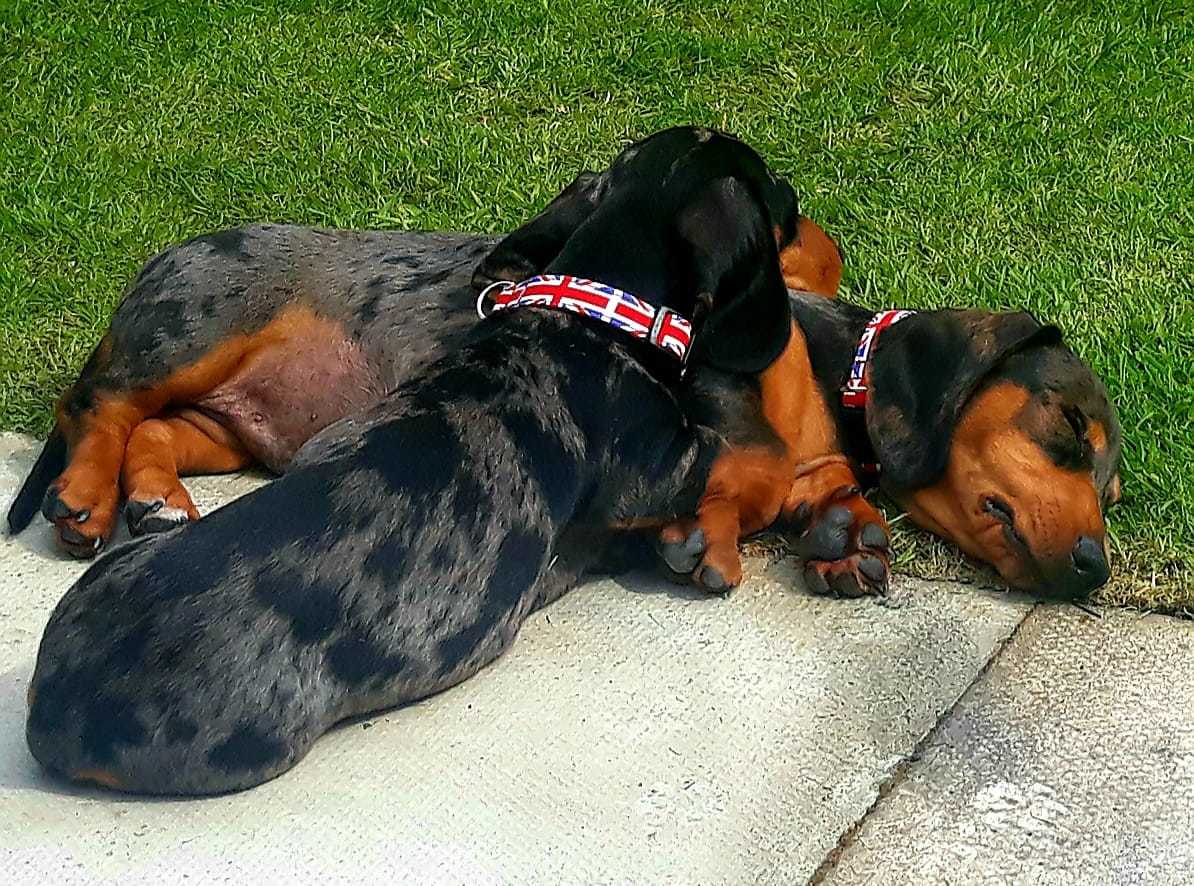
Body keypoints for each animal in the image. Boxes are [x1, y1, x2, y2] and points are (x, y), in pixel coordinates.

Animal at [28, 126, 807, 797]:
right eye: (769, 182)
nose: (798, 194)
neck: (583, 311)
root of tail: (51, 706)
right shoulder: (670, 462)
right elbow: (735, 456)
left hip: (225, 427)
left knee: (157, 431)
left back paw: (157, 501)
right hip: (196, 330)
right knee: (97, 403)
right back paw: (83, 499)